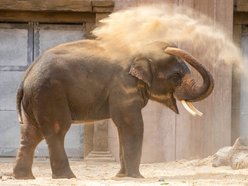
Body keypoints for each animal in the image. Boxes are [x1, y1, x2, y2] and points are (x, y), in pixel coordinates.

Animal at [13, 40, 213, 179]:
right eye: (176, 76)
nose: (169, 45)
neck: (139, 50)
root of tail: (26, 77)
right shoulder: (123, 86)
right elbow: (132, 124)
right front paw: (136, 177)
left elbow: (122, 127)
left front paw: (122, 176)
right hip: (50, 94)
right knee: (57, 130)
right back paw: (67, 177)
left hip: (37, 99)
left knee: (31, 133)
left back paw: (24, 177)